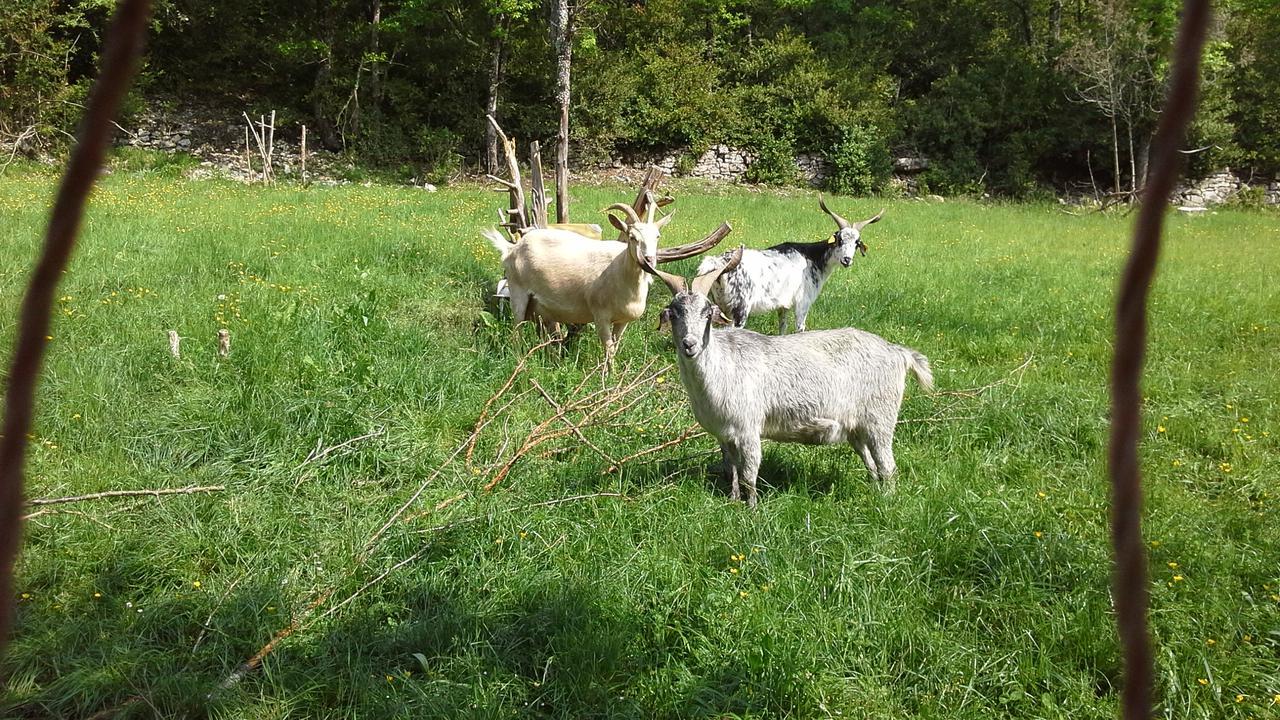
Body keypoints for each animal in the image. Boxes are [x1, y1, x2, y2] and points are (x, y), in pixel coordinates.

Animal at [483, 199, 675, 363]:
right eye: (632, 236)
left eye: (657, 236)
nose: (649, 259)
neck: (619, 270)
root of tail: (512, 248)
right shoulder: (600, 315)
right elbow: (608, 348)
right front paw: (608, 377)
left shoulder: (623, 321)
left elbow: (615, 345)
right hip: (518, 292)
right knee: (517, 329)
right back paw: (519, 359)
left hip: (537, 306)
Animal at [640, 245, 931, 504]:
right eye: (674, 312)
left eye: (707, 312)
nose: (690, 344)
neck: (722, 367)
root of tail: (898, 353)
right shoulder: (724, 434)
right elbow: (730, 470)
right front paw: (732, 501)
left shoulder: (748, 428)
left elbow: (749, 474)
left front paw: (751, 509)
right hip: (856, 427)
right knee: (871, 463)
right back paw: (874, 491)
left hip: (880, 417)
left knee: (888, 466)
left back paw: (887, 500)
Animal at [696, 194, 885, 333]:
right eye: (839, 239)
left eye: (857, 243)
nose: (847, 260)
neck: (812, 257)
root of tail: (720, 262)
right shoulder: (803, 303)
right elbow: (799, 328)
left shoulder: (783, 306)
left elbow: (783, 327)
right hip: (739, 309)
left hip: (718, 306)